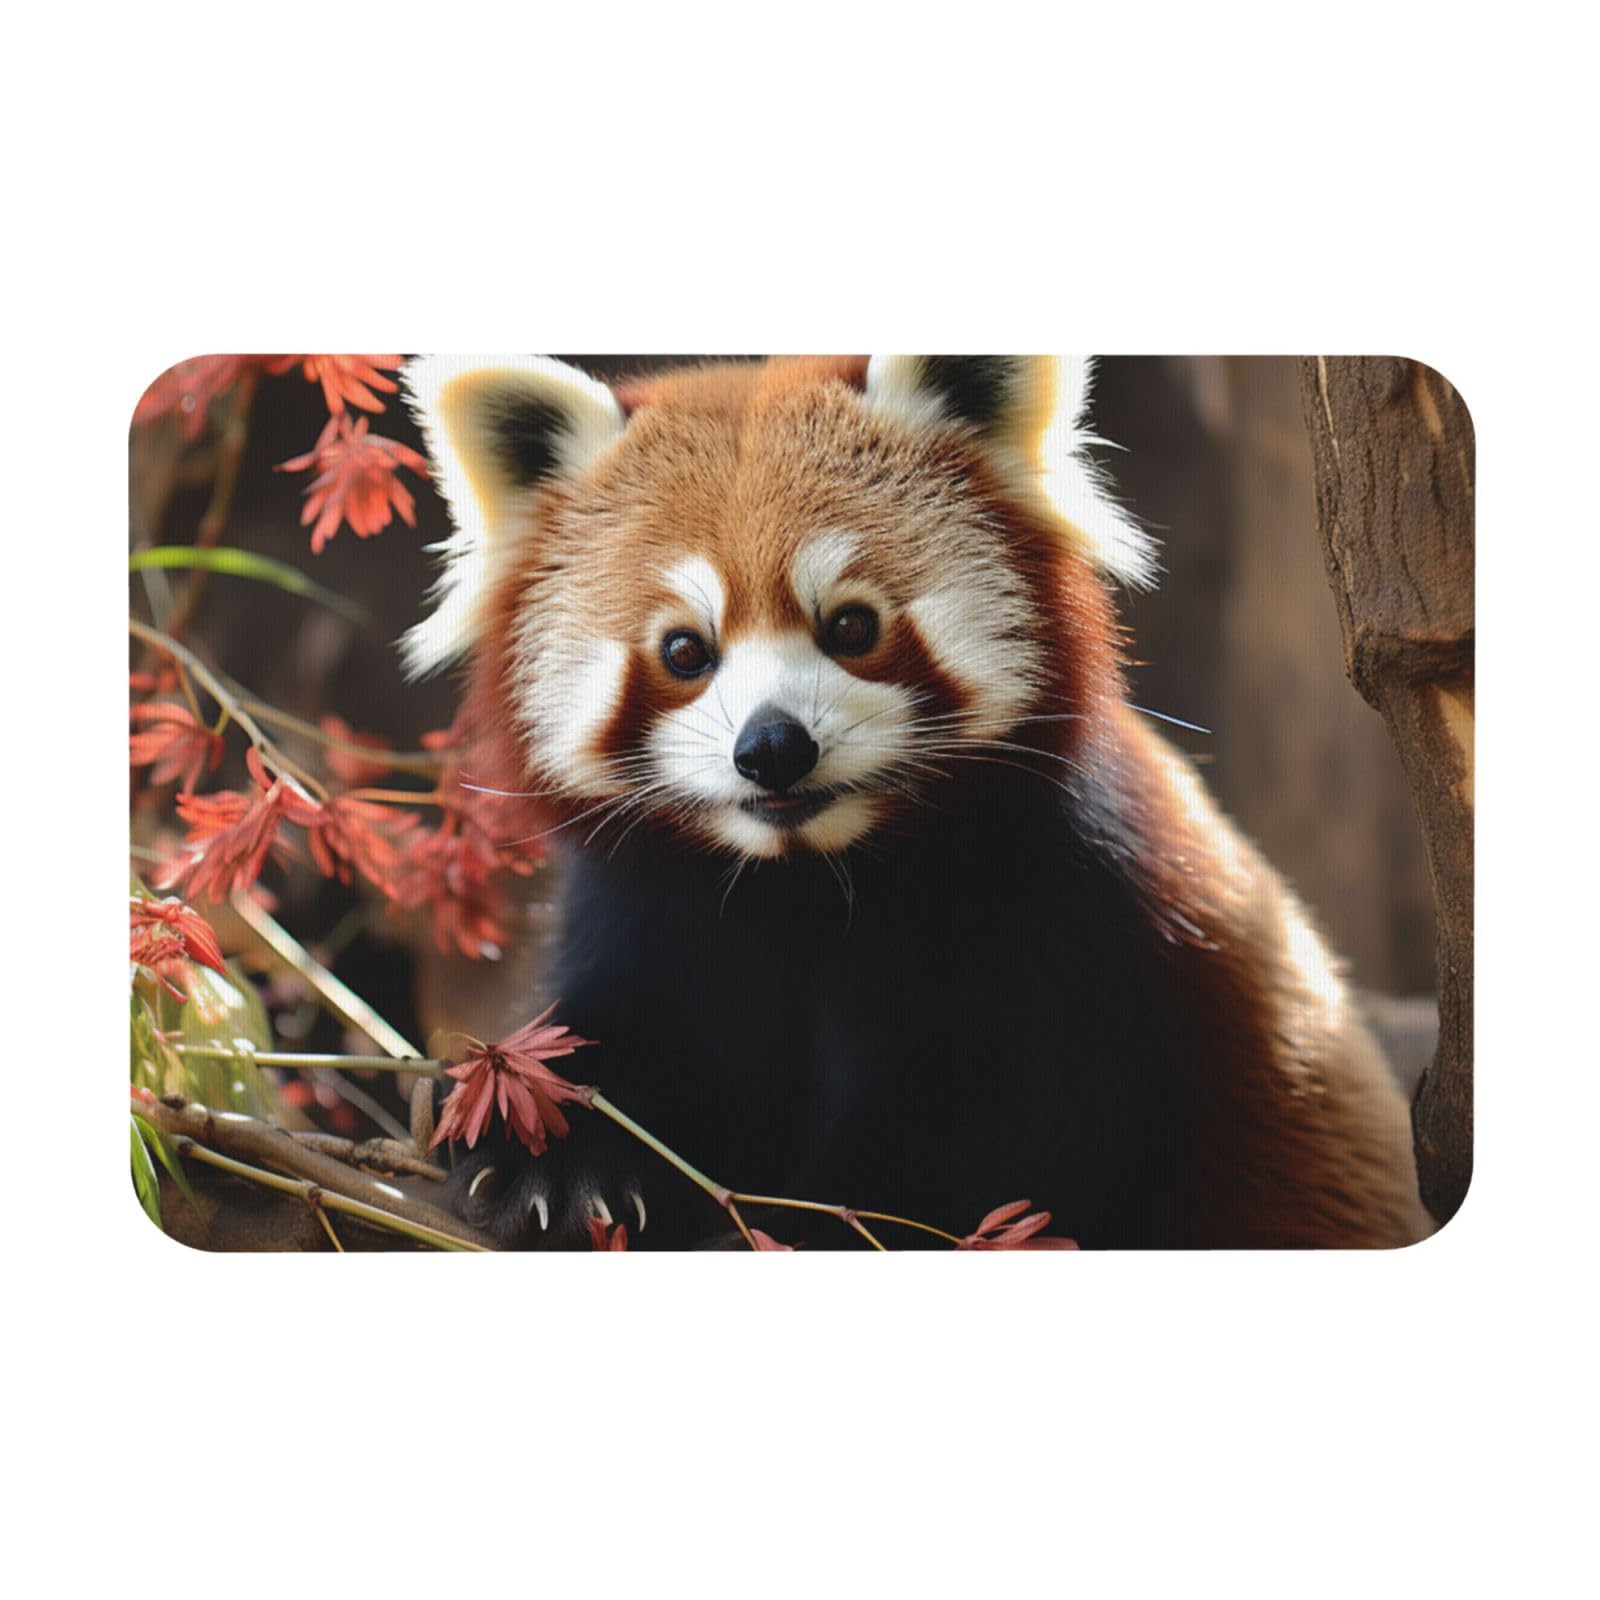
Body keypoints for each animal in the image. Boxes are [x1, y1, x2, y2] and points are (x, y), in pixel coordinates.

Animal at [401, 352, 1431, 1250]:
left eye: (852, 626)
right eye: (685, 651)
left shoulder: (1068, 912)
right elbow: (607, 1035)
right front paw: (552, 1163)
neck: (807, 886)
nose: (772, 748)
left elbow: (980, 1137)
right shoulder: (652, 912)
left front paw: (804, 1232)